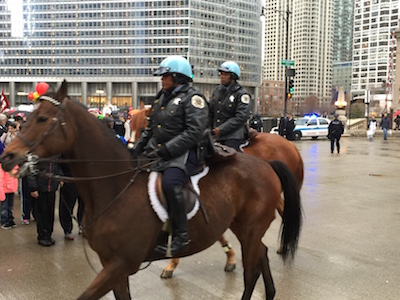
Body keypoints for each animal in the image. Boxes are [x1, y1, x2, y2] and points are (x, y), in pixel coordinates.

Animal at [130, 106, 304, 278]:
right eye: (129, 126)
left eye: (142, 128)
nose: (133, 151)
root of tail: (290, 145)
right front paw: (230, 257)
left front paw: (173, 261)